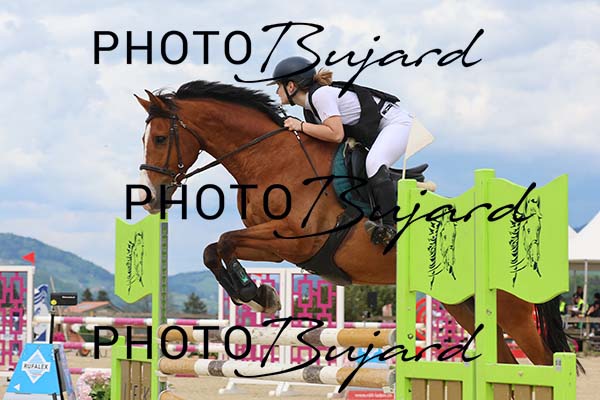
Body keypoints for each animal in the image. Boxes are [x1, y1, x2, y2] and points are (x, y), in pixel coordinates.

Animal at [134, 80, 572, 367]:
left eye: (159, 139)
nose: (152, 198)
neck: (270, 158)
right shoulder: (276, 247)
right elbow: (215, 248)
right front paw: (258, 293)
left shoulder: (291, 241)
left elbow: (223, 241)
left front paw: (255, 294)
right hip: (464, 304)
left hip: (513, 311)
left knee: (545, 362)